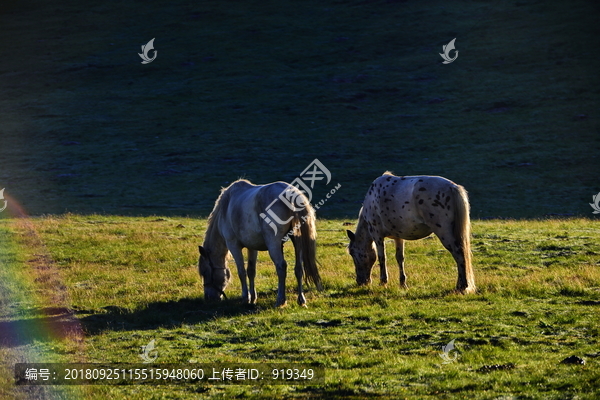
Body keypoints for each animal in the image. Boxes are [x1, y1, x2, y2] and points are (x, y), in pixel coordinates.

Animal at [198, 178, 322, 306]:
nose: (208, 298)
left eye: (205, 273)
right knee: (299, 269)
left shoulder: (233, 245)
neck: (225, 208)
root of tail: (291, 193)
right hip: (297, 241)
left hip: (273, 243)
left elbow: (241, 272)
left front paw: (245, 297)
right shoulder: (252, 247)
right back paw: (301, 299)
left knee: (281, 267)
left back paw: (280, 300)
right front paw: (253, 297)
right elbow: (251, 271)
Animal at [344, 172, 476, 294]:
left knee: (459, 254)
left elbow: (382, 258)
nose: (361, 282)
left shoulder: (377, 235)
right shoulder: (398, 237)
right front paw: (403, 284)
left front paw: (383, 282)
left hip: (444, 232)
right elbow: (400, 258)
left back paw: (462, 286)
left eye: (352, 253)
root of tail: (452, 187)